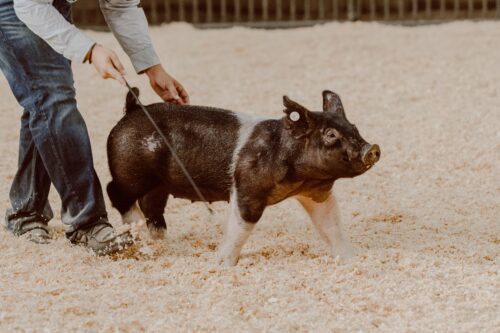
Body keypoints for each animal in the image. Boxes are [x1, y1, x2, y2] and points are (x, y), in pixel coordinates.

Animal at [105, 88, 378, 264]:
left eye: (354, 128)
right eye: (331, 134)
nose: (372, 148)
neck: (301, 177)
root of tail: (132, 110)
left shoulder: (316, 193)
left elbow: (331, 225)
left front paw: (352, 259)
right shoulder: (248, 187)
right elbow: (241, 227)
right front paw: (222, 263)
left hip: (158, 185)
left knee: (151, 207)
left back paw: (162, 242)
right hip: (129, 170)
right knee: (115, 193)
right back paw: (136, 233)